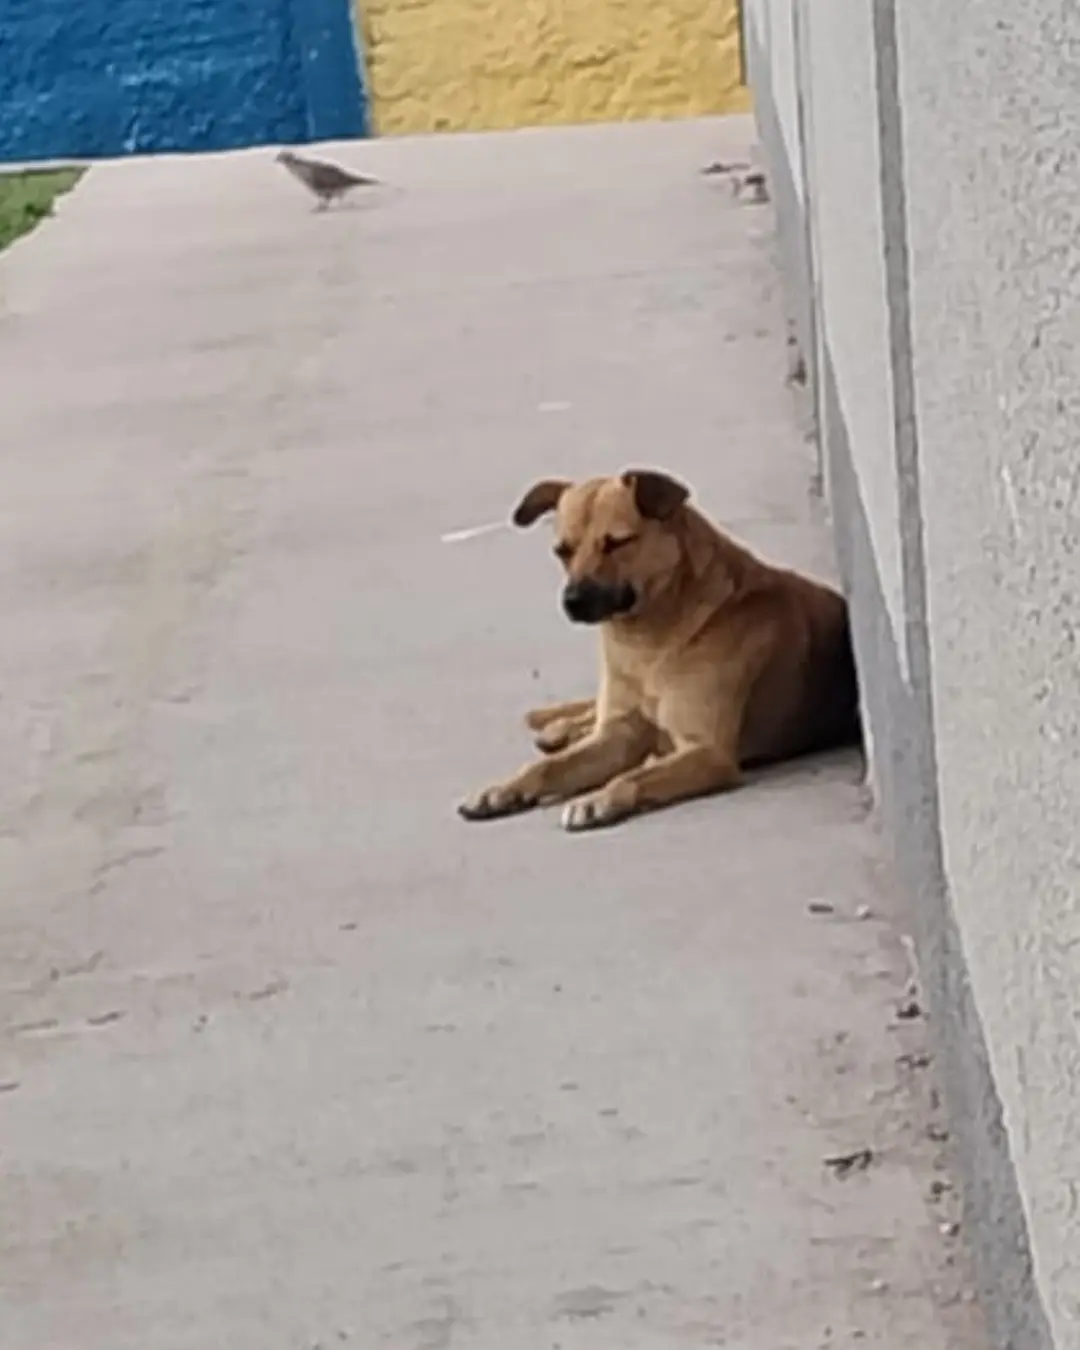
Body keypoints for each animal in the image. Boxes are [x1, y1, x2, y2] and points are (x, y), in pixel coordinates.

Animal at [456, 472, 858, 831]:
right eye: (562, 551)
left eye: (617, 542)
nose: (572, 601)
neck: (646, 642)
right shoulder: (618, 737)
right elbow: (547, 767)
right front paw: (504, 789)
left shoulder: (708, 751)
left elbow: (631, 776)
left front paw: (597, 799)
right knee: (587, 718)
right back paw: (563, 727)